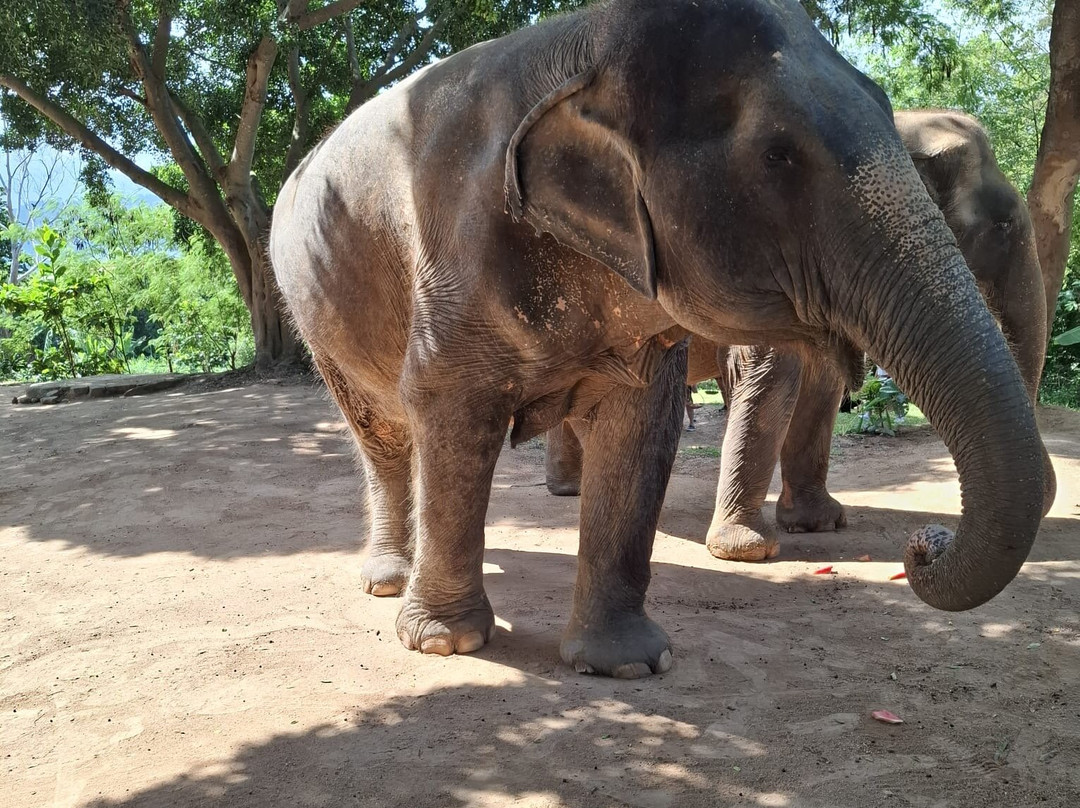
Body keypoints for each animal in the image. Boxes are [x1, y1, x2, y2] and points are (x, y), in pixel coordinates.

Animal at [546, 109, 1056, 562]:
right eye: (1003, 225)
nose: (930, 542)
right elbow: (772, 376)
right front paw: (747, 550)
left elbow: (822, 383)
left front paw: (818, 523)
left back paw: (569, 489)